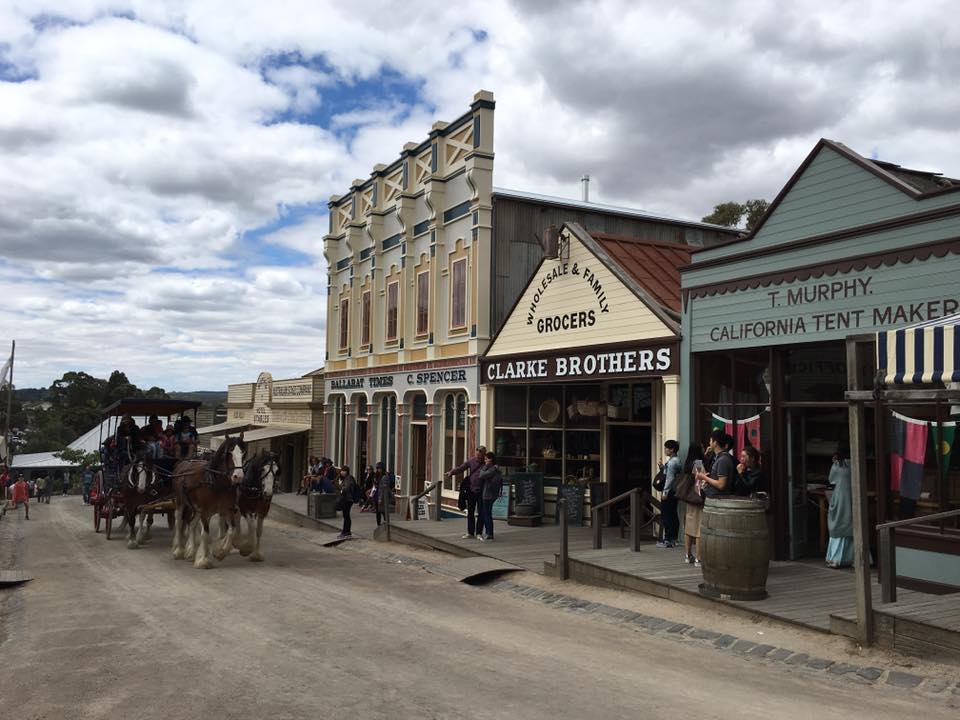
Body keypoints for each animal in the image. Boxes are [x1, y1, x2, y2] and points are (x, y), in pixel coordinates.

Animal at [172, 436, 248, 572]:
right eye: (229, 453)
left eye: (243, 453)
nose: (238, 477)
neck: (217, 483)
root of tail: (183, 463)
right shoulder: (205, 512)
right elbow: (205, 535)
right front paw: (203, 561)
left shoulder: (227, 510)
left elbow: (232, 531)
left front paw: (220, 553)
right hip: (181, 502)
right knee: (179, 523)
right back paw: (178, 550)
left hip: (196, 508)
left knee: (191, 524)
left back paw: (191, 552)